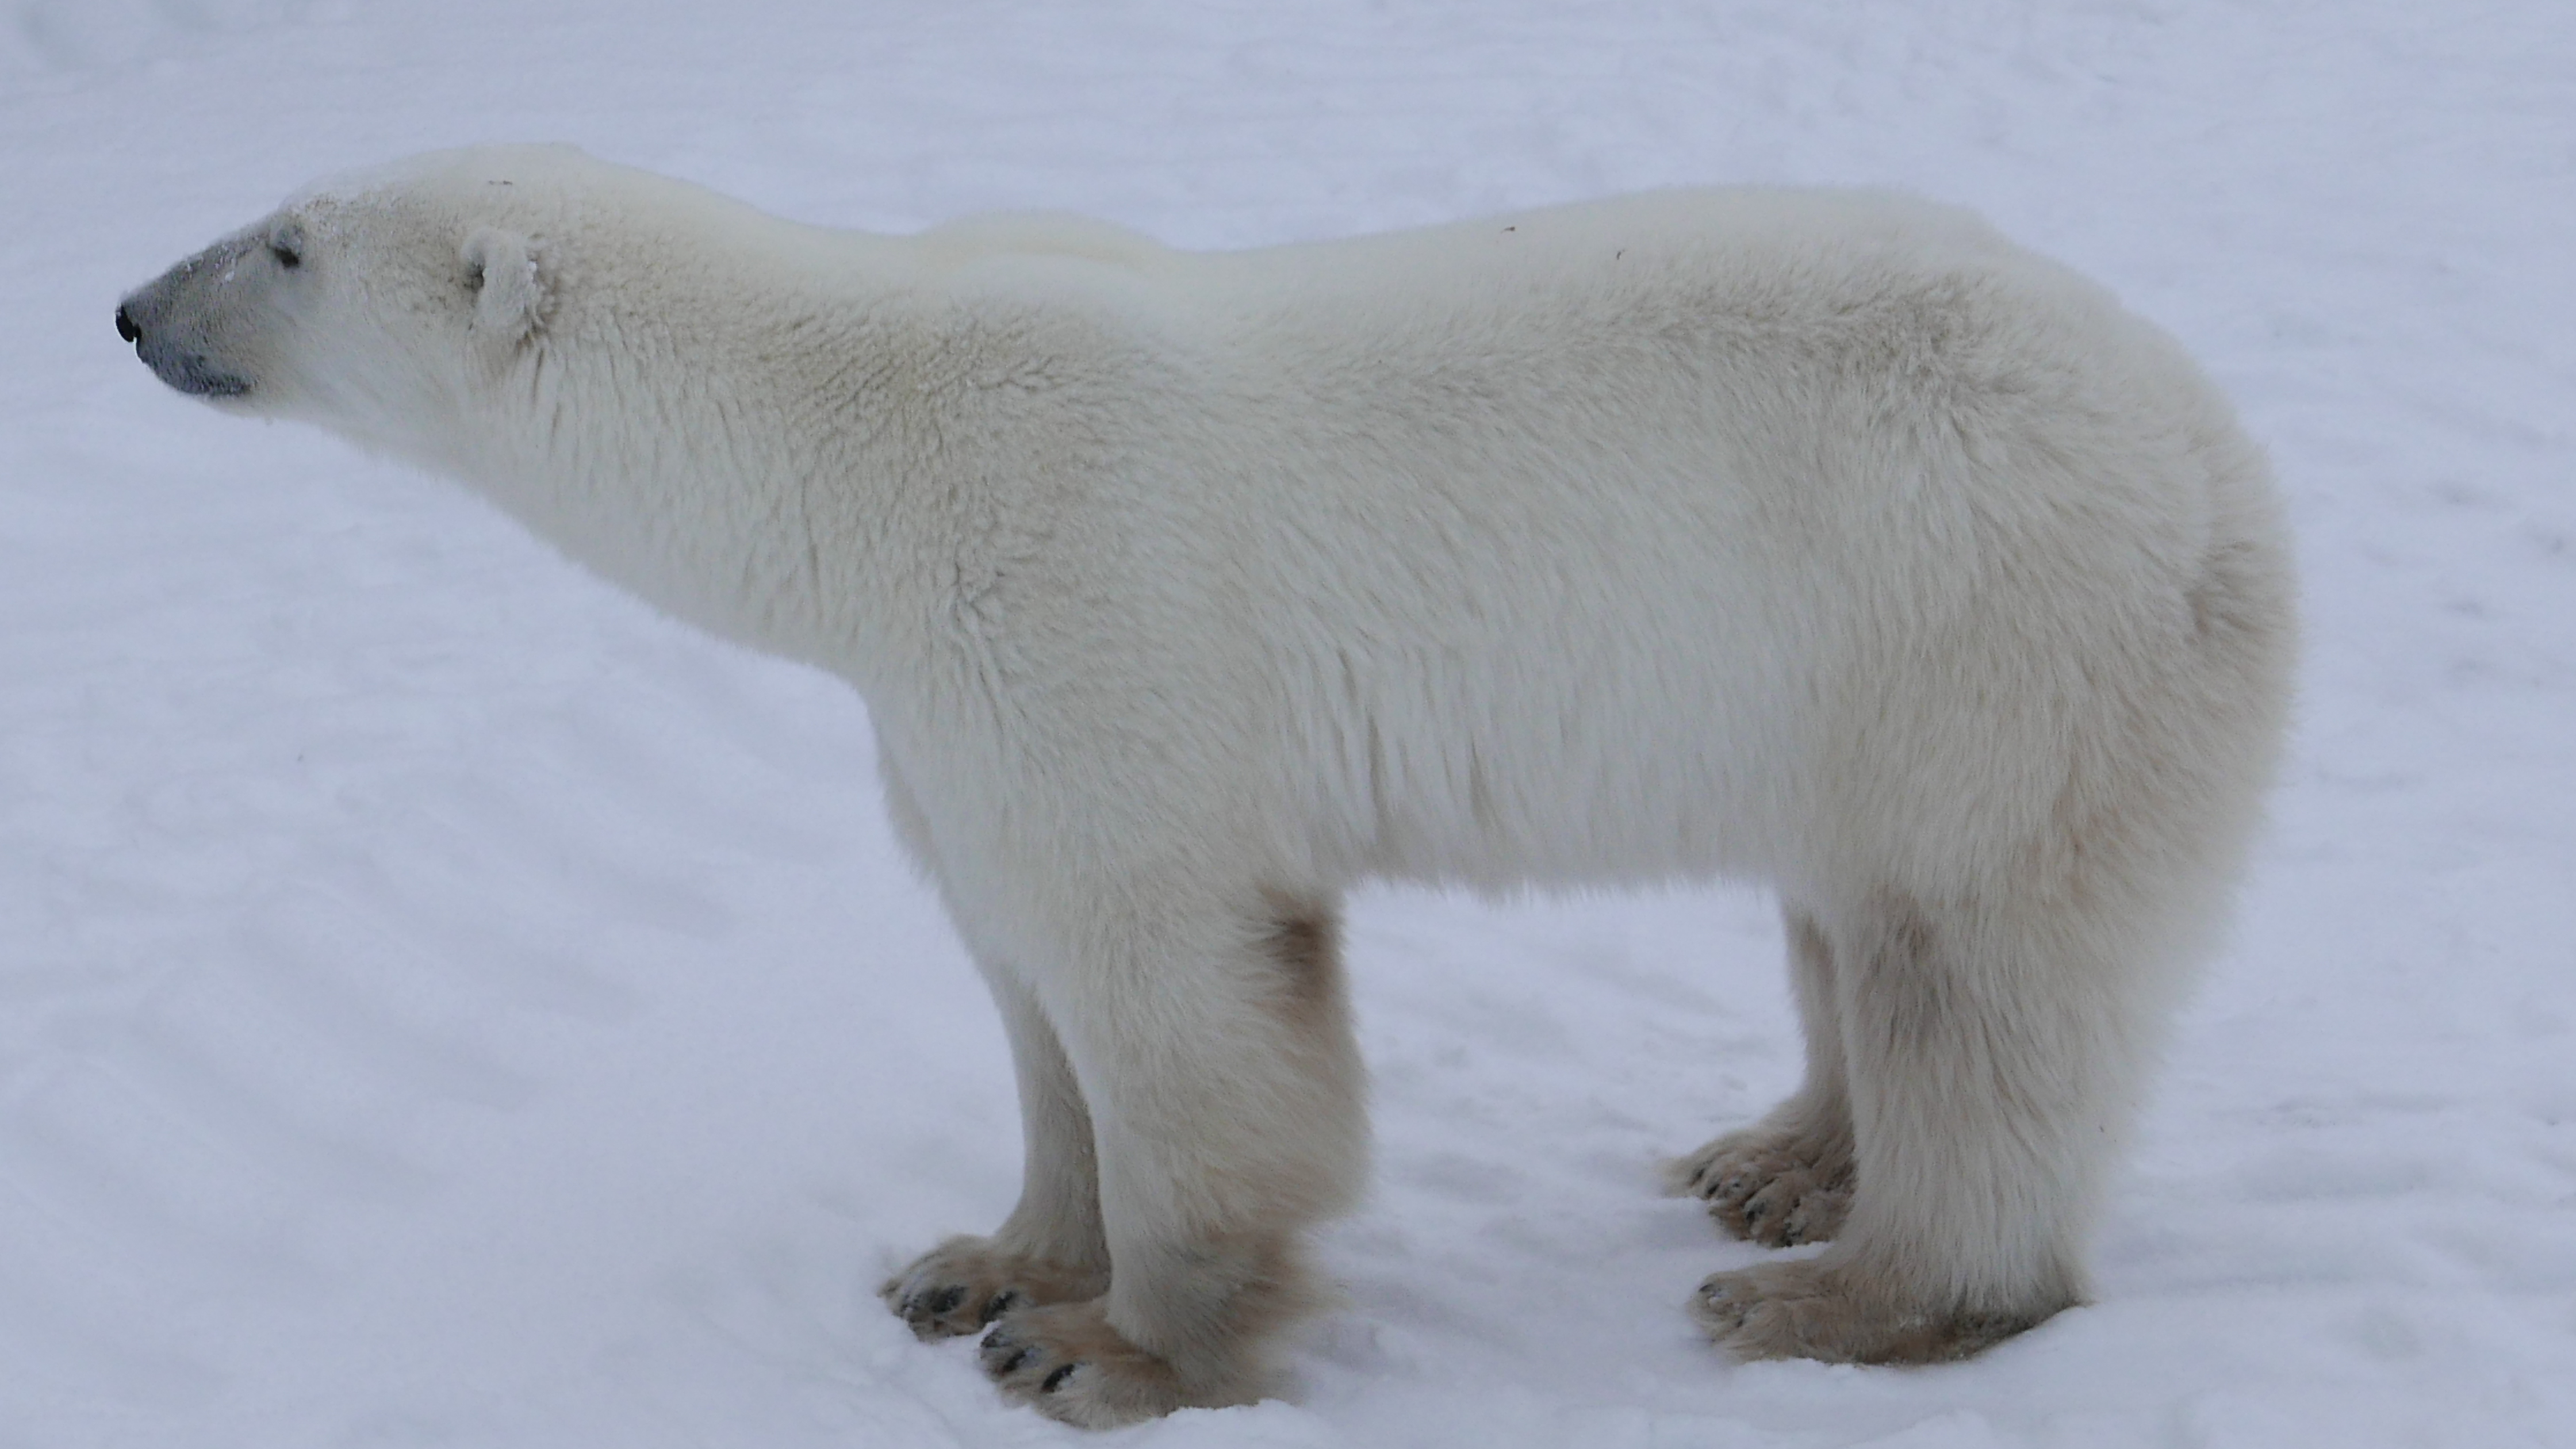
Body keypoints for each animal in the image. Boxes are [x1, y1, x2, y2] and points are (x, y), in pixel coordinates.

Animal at [121, 147, 2298, 1423]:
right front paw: (976, 1261)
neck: (854, 445)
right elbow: (1024, 982)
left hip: (1982, 646)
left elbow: (1169, 998)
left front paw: (1104, 1350)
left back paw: (1848, 1296)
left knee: (1975, 978)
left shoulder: (1073, 615)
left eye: (289, 245)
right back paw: (1777, 1162)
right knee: (1847, 927)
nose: (133, 312)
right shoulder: (942, 711)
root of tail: (2223, 462)